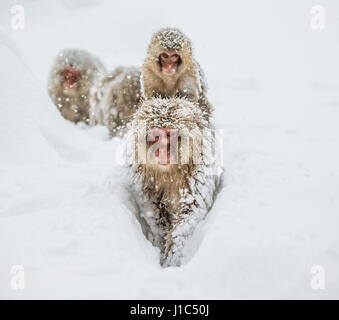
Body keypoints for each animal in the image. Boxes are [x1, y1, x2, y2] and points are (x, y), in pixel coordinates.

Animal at [126, 96, 222, 266]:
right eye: (156, 136)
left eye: (169, 135)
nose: (162, 151)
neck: (169, 171)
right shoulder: (141, 172)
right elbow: (152, 210)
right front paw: (161, 241)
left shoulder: (197, 170)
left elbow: (189, 213)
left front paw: (172, 257)